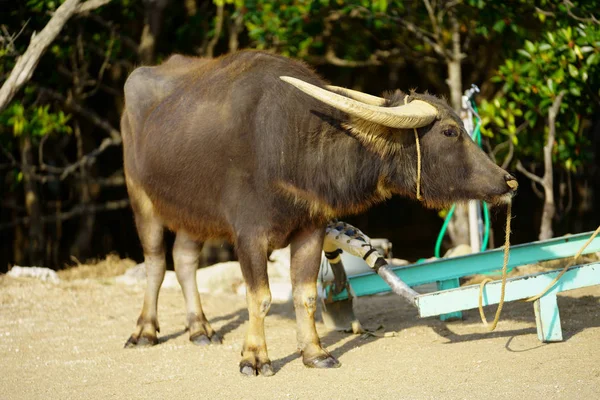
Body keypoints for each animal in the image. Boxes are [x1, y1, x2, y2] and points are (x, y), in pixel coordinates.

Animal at [120, 49, 516, 376]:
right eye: (449, 131)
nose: (508, 181)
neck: (292, 146)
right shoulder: (249, 235)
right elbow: (259, 298)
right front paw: (255, 357)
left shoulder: (310, 228)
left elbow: (306, 294)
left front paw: (314, 352)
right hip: (142, 198)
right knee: (156, 261)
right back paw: (144, 331)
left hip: (192, 211)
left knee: (184, 258)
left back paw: (200, 328)